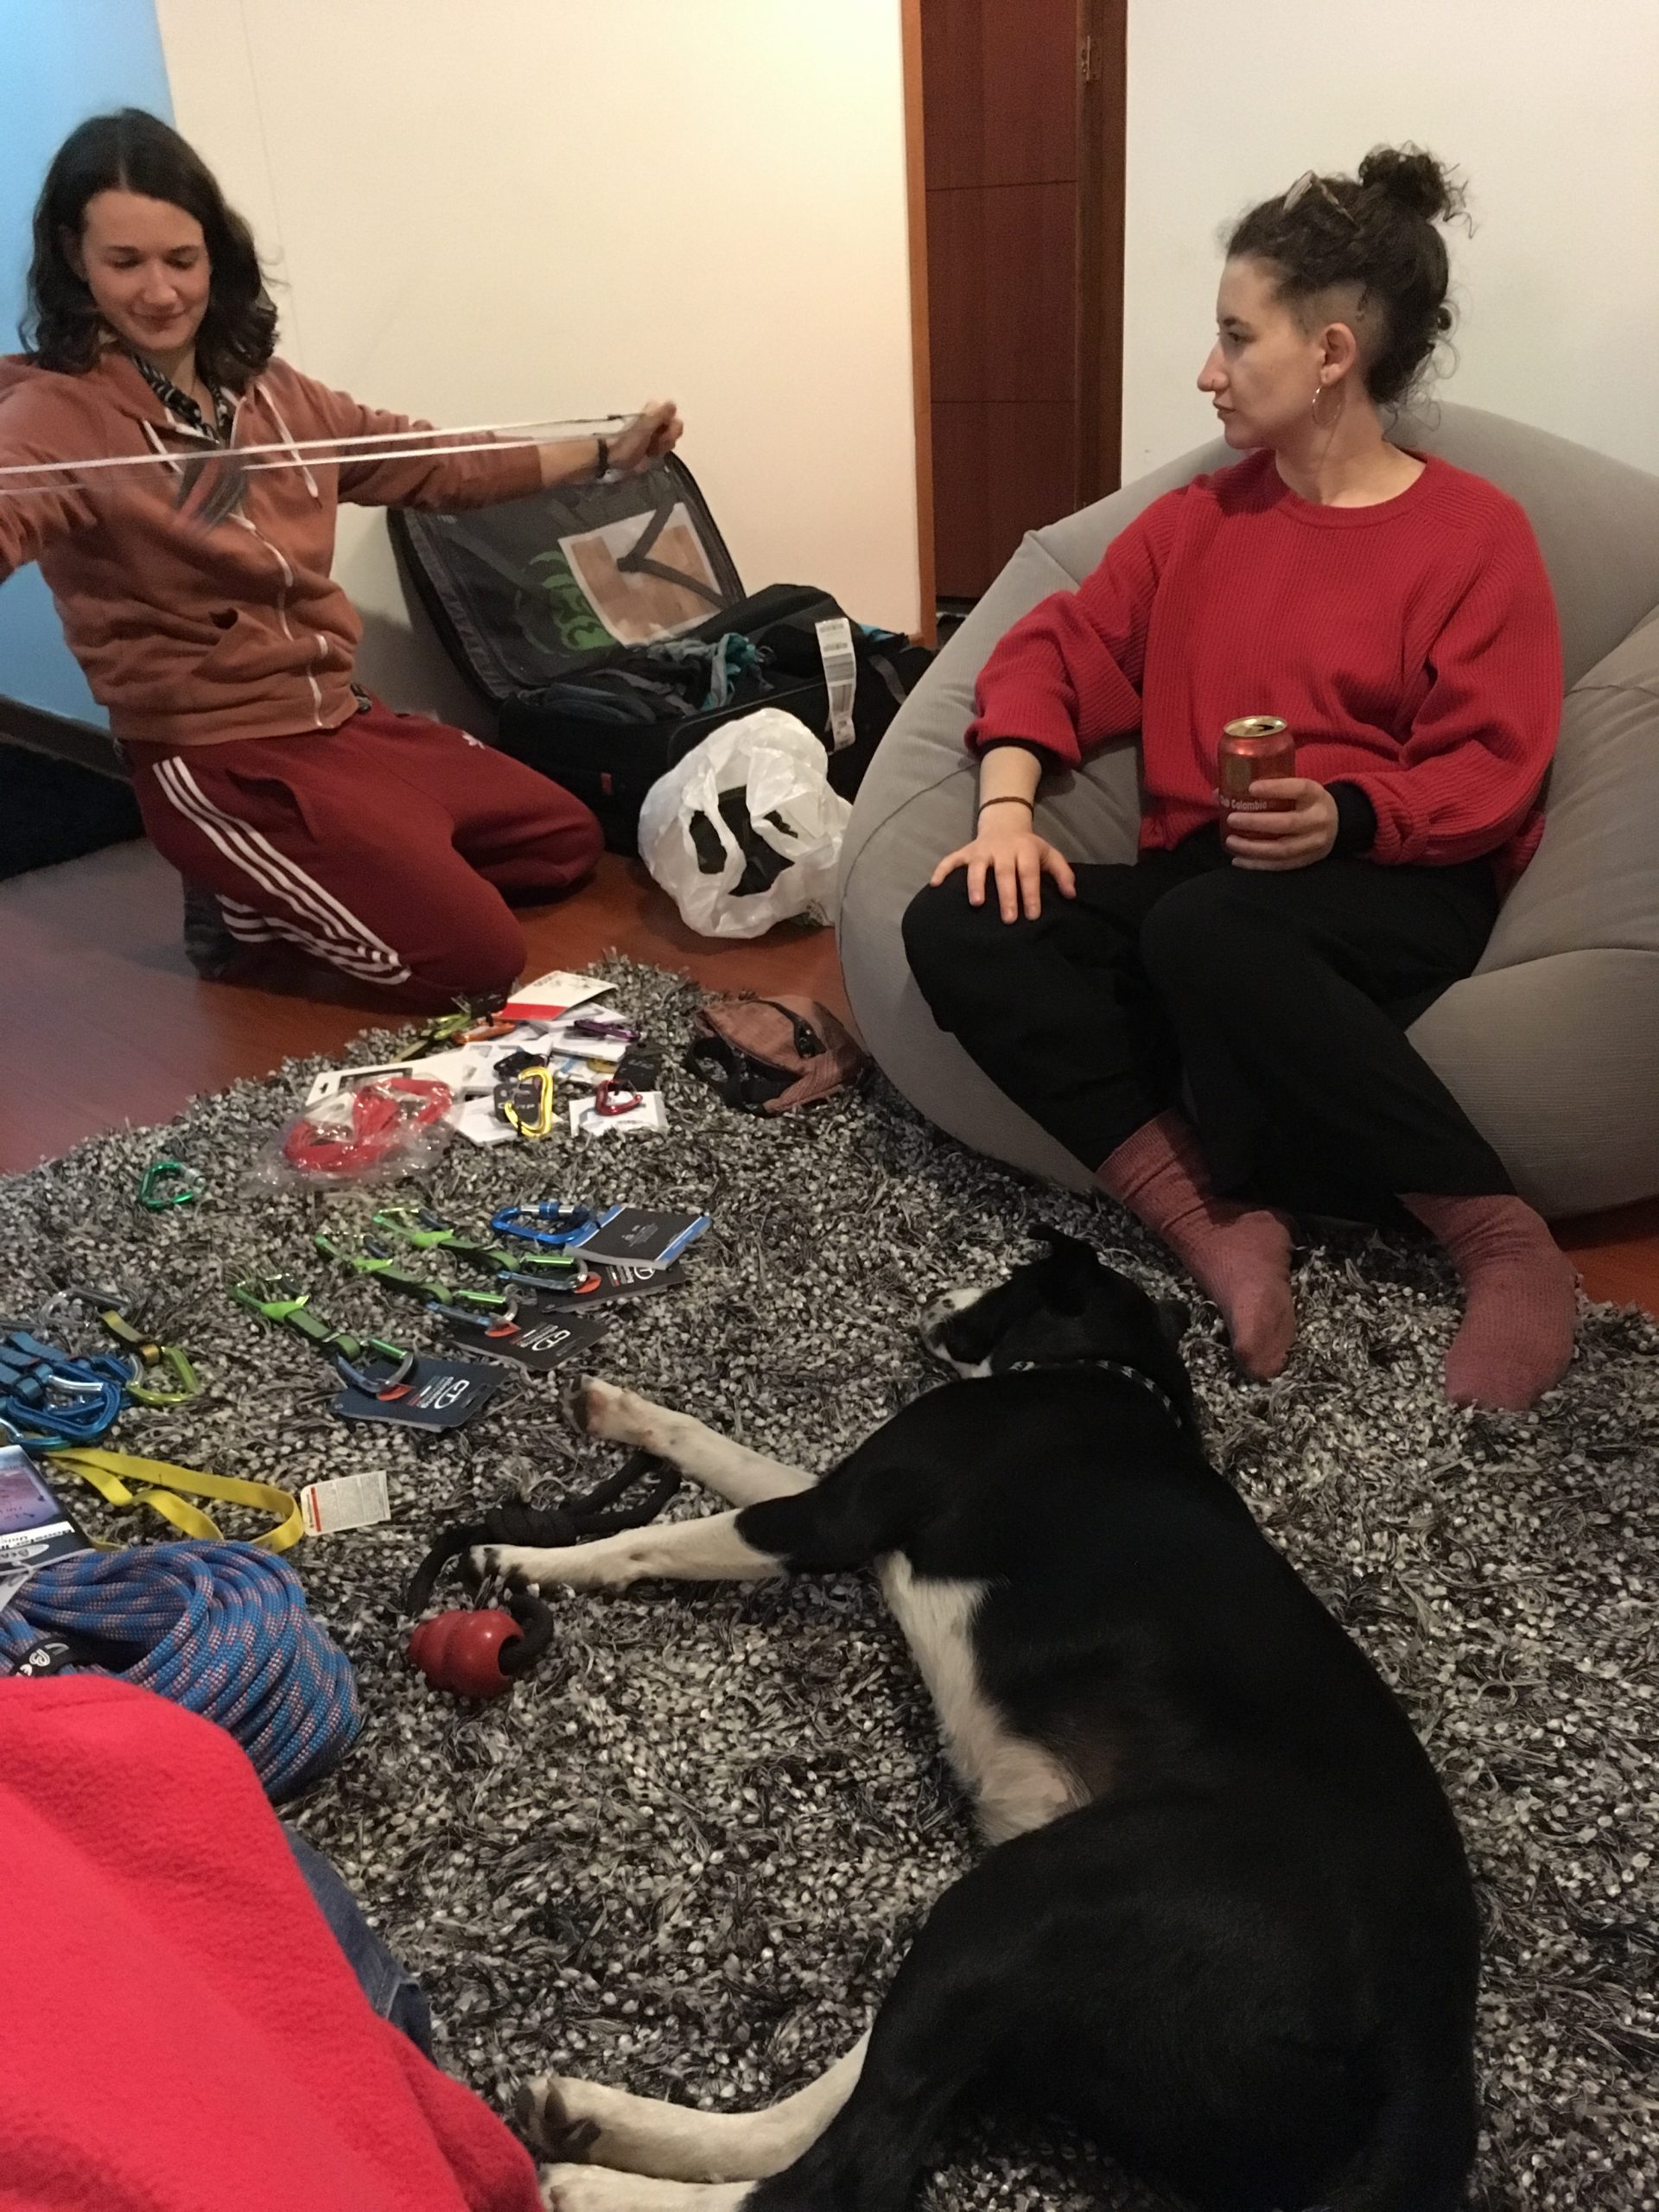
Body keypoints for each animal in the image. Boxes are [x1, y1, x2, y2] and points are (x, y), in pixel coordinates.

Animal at [481, 1233, 1479, 2212]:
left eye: (1013, 1282)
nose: (940, 1292)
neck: (1116, 1375)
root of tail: (1426, 2048)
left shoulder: (829, 1515)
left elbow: (654, 1538)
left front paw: (525, 1558)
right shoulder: (841, 1502)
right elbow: (712, 1442)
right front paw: (617, 1409)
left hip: (1033, 1897)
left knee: (847, 2173)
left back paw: (594, 2182)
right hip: (1002, 1952)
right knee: (833, 2111)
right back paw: (599, 2122)